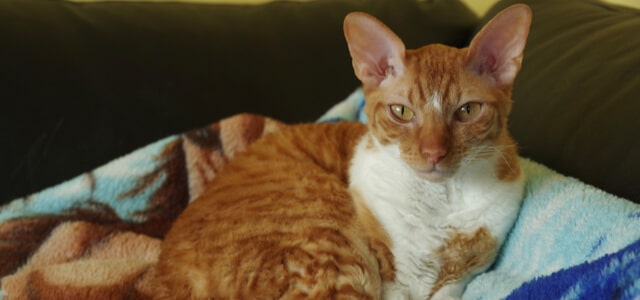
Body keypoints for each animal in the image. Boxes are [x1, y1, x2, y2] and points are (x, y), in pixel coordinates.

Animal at [154, 3, 528, 298]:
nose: (433, 153)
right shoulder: (389, 274)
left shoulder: (463, 274)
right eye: (402, 112)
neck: (439, 202)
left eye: (467, 111)